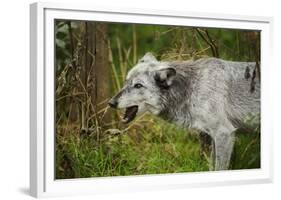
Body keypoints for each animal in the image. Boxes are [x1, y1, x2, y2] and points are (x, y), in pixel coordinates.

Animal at [107, 52, 258, 170]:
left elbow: (218, 168)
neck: (192, 87)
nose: (111, 103)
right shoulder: (214, 136)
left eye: (138, 85)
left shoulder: (224, 134)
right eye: (126, 82)